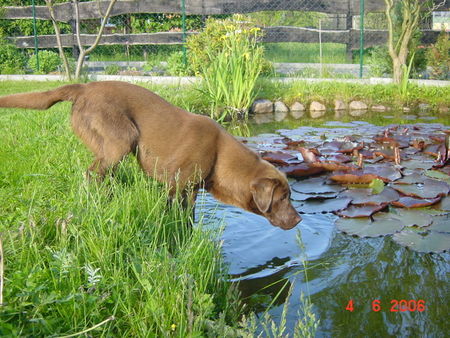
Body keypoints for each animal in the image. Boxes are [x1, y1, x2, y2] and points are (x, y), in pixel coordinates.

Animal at [0, 81, 302, 230]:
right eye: (282, 198)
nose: (299, 220)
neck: (219, 155)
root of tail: (83, 87)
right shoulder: (175, 186)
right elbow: (171, 213)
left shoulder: (192, 190)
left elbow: (188, 215)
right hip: (122, 140)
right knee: (91, 174)